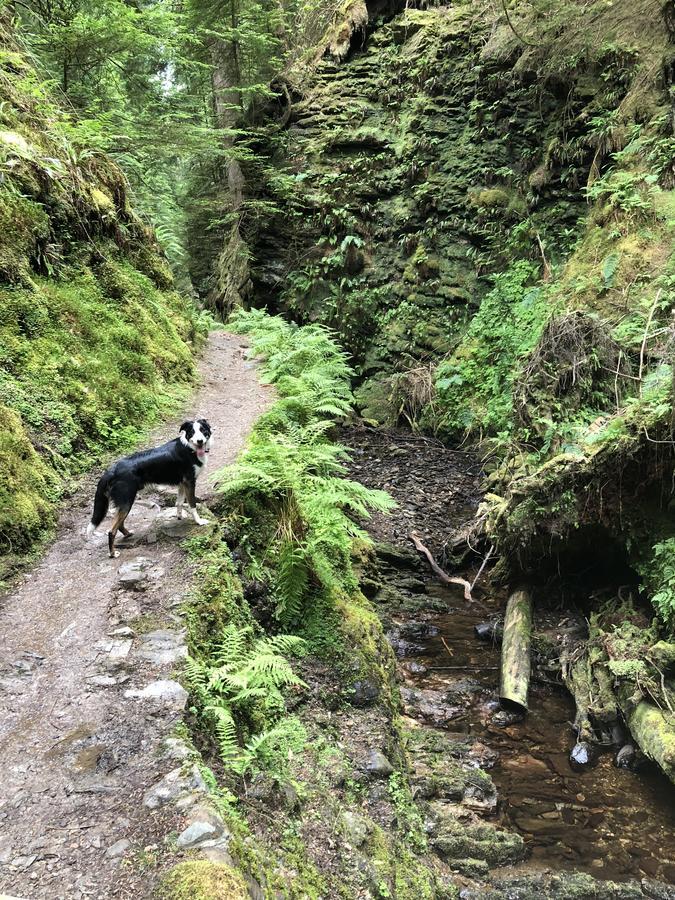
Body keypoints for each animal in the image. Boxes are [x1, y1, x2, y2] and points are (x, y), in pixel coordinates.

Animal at [88, 414, 213, 556]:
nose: (200, 441)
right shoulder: (190, 482)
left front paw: (179, 516)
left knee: (119, 524)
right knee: (111, 530)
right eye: (192, 432)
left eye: (203, 430)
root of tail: (111, 470)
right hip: (126, 501)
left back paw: (128, 534)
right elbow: (192, 505)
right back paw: (113, 553)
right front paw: (199, 521)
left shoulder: (182, 483)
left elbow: (179, 503)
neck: (190, 448)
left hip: (125, 502)